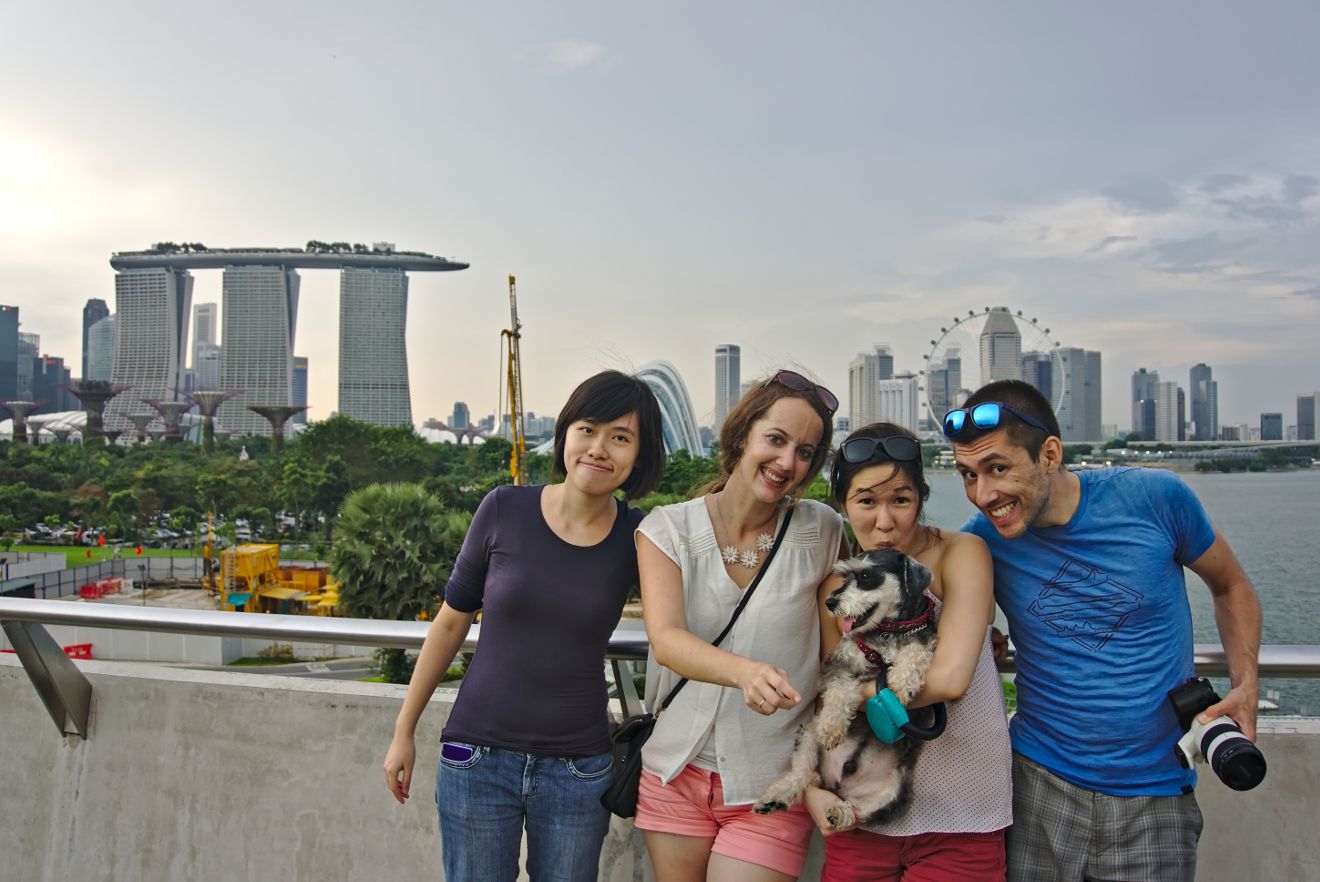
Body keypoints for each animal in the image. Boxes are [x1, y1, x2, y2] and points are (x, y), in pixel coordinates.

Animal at [755, 546, 939, 829]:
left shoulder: (924, 640)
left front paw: (900, 683)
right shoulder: (840, 665)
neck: (888, 630)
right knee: (803, 773)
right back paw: (776, 798)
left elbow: (914, 652)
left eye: (865, 575)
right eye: (844, 575)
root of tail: (836, 785)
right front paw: (832, 727)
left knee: (859, 811)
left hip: (895, 793)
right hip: (808, 735)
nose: (830, 602)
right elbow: (841, 691)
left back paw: (840, 812)